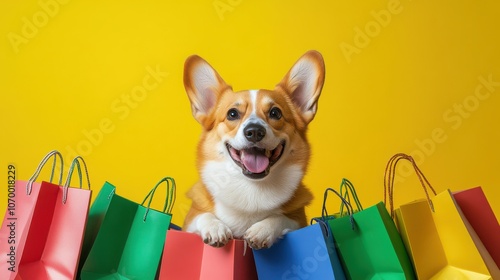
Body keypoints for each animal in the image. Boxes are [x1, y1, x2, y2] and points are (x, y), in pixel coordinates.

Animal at [182, 50, 326, 249]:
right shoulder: (190, 220)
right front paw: (215, 228)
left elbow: (281, 217)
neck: (251, 188)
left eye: (275, 113)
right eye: (232, 114)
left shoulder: (299, 221)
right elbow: (201, 215)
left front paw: (262, 230)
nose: (254, 131)